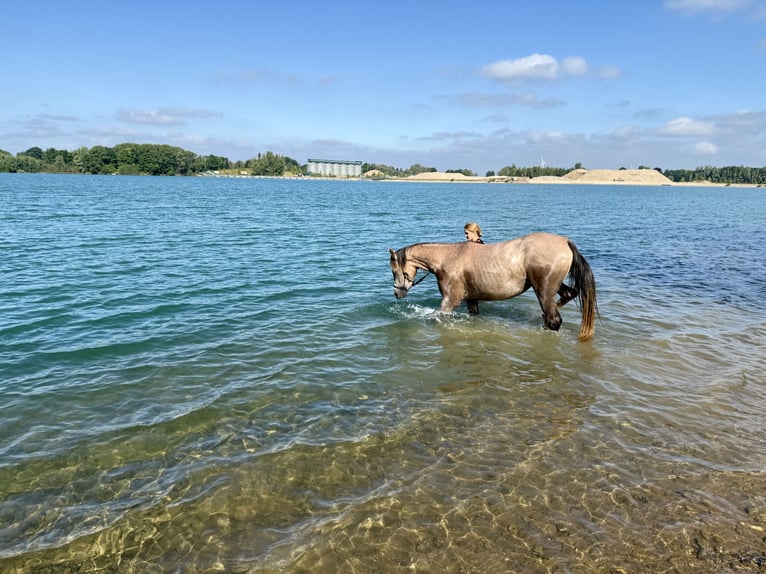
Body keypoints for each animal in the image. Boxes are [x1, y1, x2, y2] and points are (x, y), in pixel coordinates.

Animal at [389, 232, 598, 341]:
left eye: (393, 270)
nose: (397, 293)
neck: (448, 258)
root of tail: (565, 242)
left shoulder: (450, 301)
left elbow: (436, 317)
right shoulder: (471, 299)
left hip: (544, 291)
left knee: (554, 319)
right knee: (568, 295)